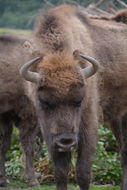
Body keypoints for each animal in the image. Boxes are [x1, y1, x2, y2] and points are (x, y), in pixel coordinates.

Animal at [20, 4, 127, 190]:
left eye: (79, 100)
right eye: (44, 102)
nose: (66, 141)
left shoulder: (89, 125)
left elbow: (83, 172)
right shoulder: (49, 133)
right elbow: (61, 172)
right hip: (116, 119)